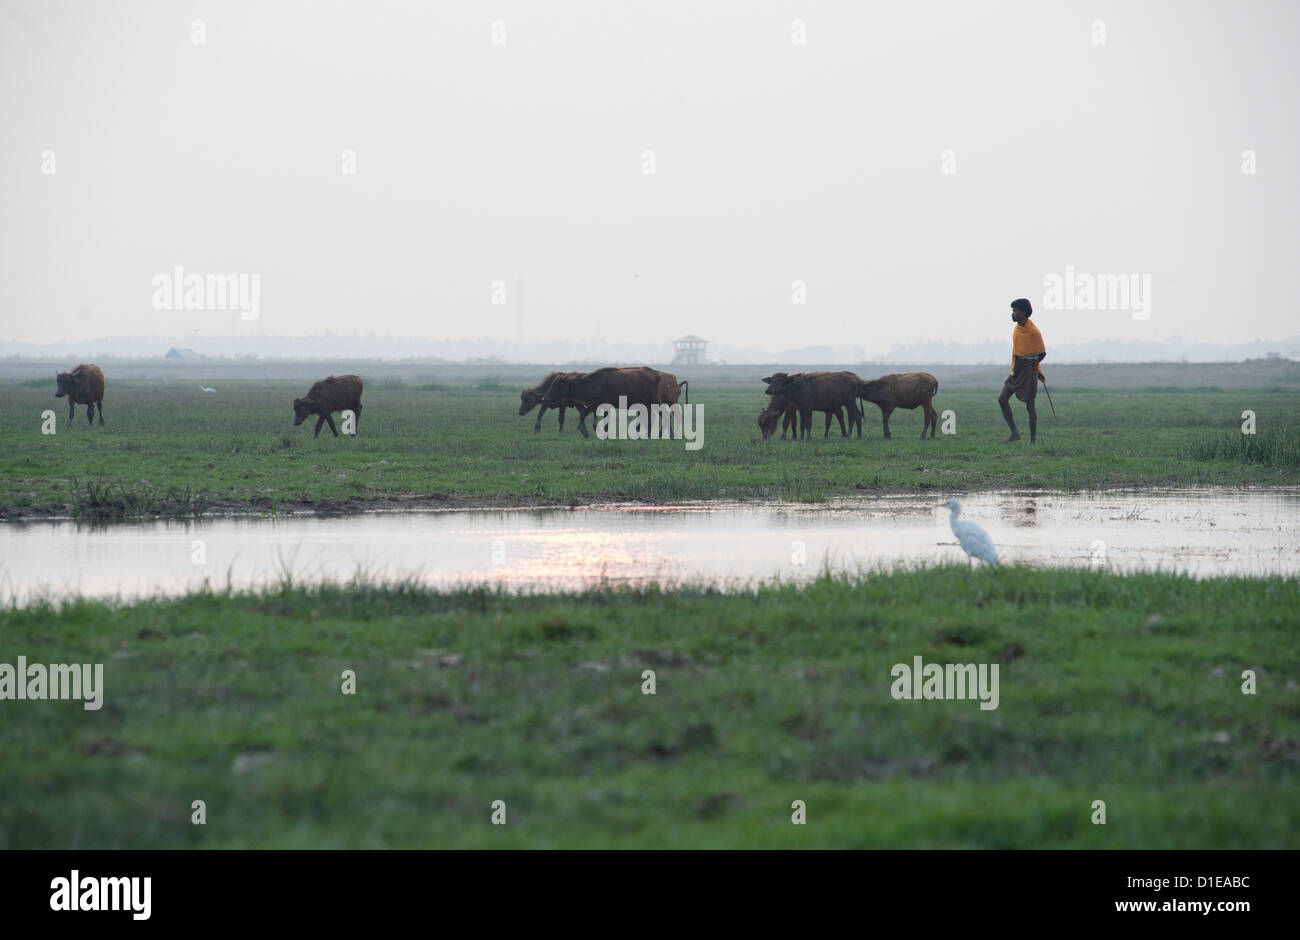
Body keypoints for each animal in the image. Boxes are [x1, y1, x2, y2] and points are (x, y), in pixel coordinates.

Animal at [543, 366, 676, 442]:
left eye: (557, 385)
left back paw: (670, 435)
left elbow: (605, 423)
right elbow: (583, 415)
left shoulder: (603, 405)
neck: (594, 383)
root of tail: (656, 374)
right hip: (647, 404)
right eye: (552, 384)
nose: (546, 397)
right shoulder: (594, 404)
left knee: (666, 415)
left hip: (655, 401)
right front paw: (585, 432)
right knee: (652, 418)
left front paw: (604, 436)